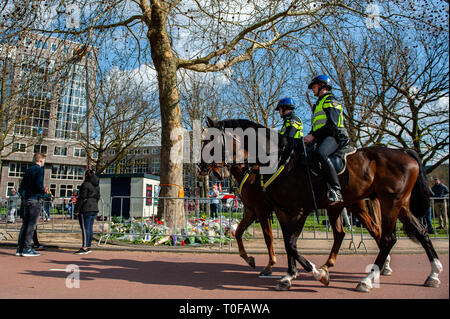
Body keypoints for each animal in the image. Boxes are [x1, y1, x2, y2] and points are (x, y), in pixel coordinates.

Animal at [200, 118, 442, 292]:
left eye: (210, 141)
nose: (203, 168)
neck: (276, 161)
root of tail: (404, 151)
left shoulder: (287, 209)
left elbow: (285, 241)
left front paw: (305, 273)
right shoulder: (268, 209)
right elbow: (253, 235)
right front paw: (284, 272)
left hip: (386, 202)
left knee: (386, 237)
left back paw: (367, 278)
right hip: (393, 204)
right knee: (416, 232)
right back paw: (432, 273)